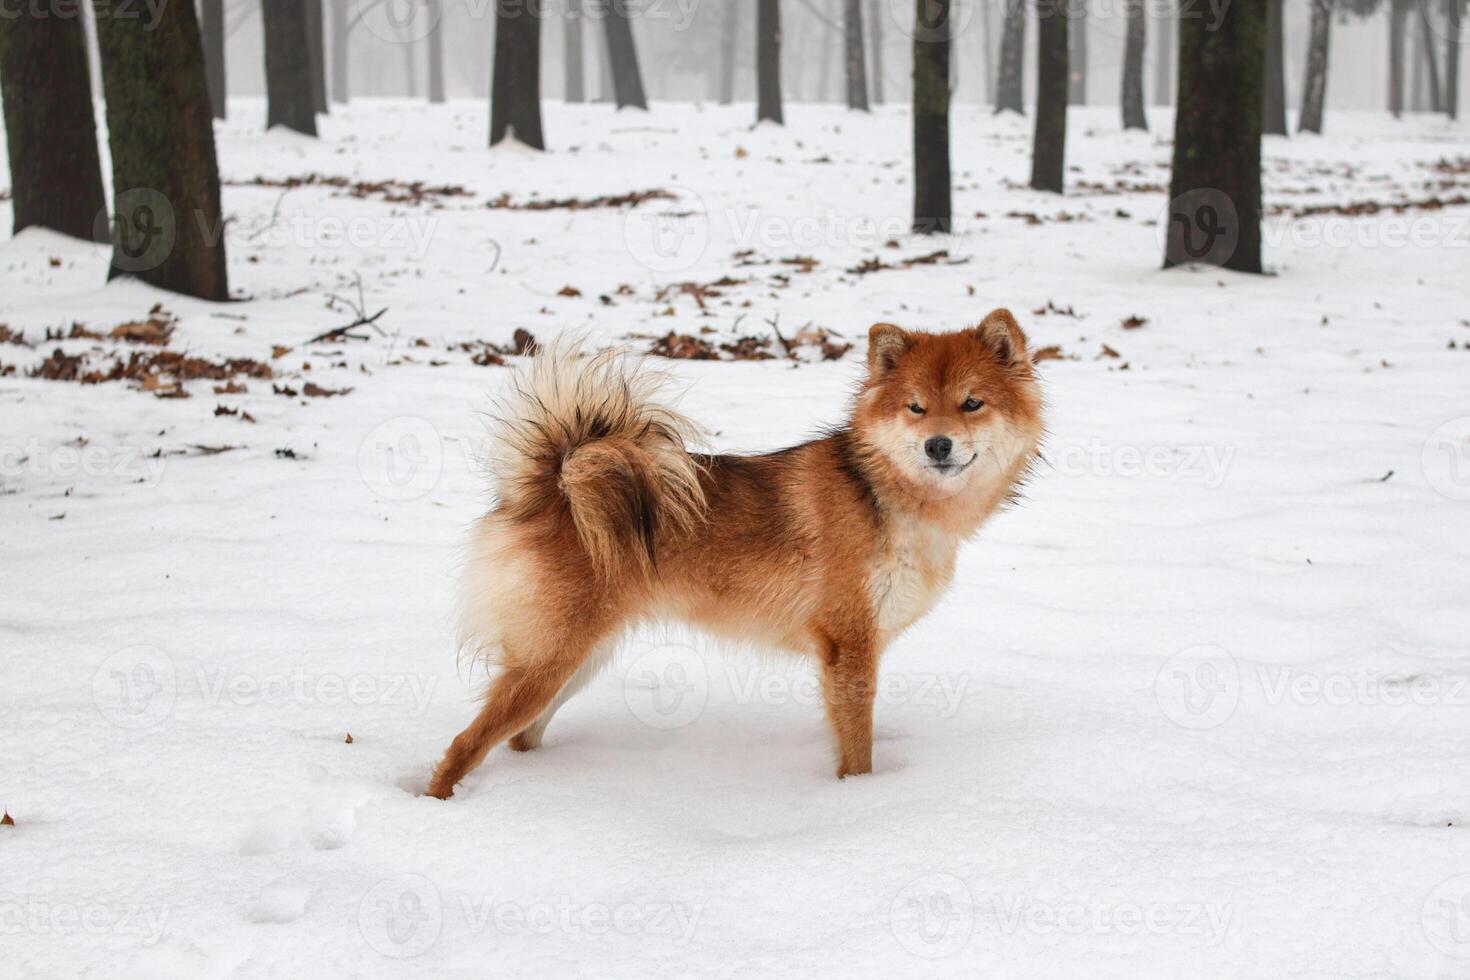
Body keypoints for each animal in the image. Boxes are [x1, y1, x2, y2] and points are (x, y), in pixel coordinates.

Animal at [426, 310, 1046, 799]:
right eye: (915, 408)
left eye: (972, 404)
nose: (938, 445)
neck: (884, 494)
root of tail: (551, 485)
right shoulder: (848, 645)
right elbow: (856, 747)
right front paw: (858, 798)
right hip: (551, 661)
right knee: (465, 743)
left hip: (575, 662)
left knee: (519, 737)